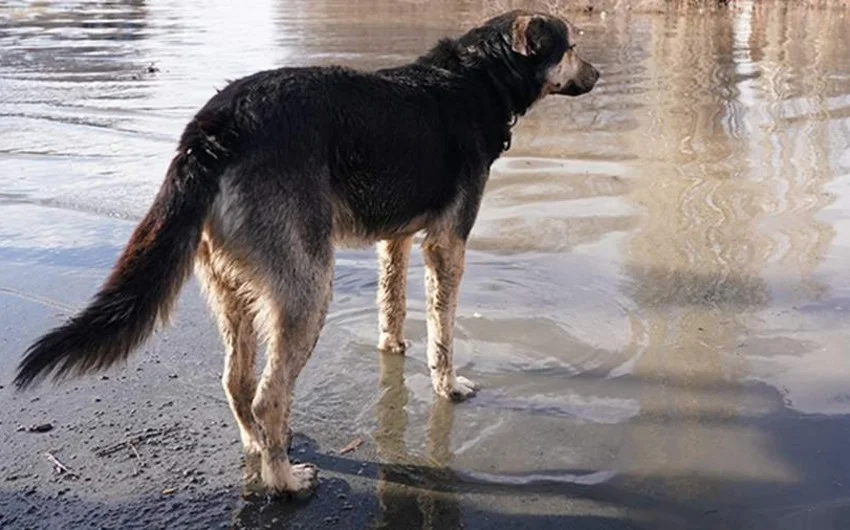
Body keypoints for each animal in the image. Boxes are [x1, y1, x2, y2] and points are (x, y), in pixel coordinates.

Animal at [13, 9, 596, 496]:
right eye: (571, 46)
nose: (596, 75)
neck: (480, 77)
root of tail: (214, 128)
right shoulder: (447, 244)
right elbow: (443, 333)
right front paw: (448, 385)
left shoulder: (397, 239)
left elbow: (392, 304)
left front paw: (392, 346)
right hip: (308, 288)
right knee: (268, 393)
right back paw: (285, 480)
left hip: (231, 287)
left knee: (237, 382)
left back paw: (260, 445)